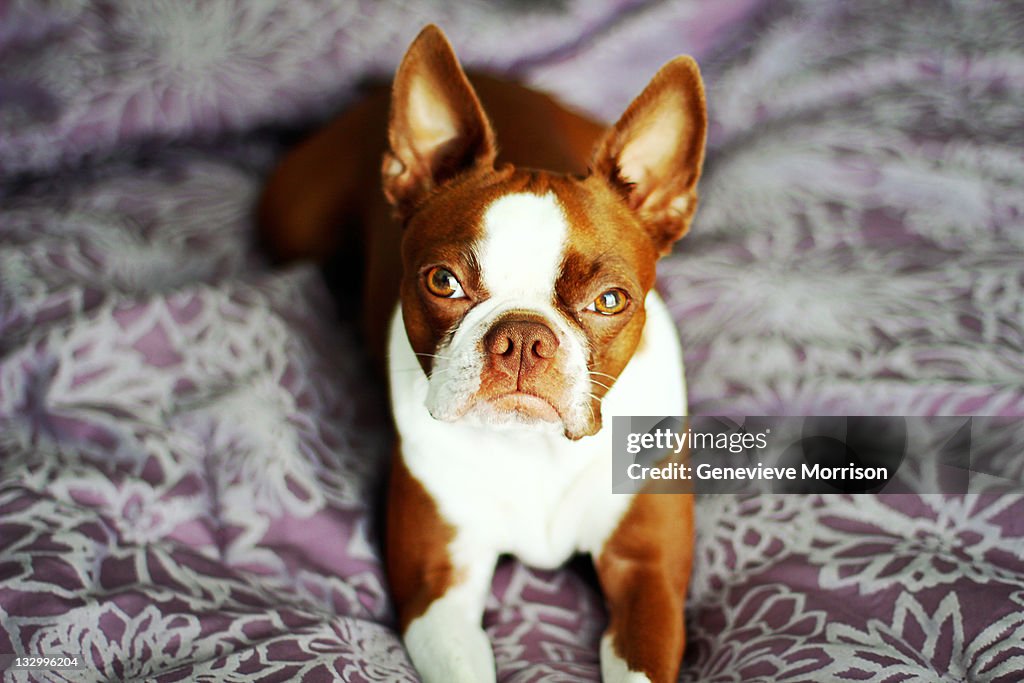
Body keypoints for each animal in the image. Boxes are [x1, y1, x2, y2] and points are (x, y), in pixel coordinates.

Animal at [258, 24, 704, 679]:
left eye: (610, 300)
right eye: (443, 282)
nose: (523, 337)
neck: (531, 448)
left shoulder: (647, 576)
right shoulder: (438, 588)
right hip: (292, 223)